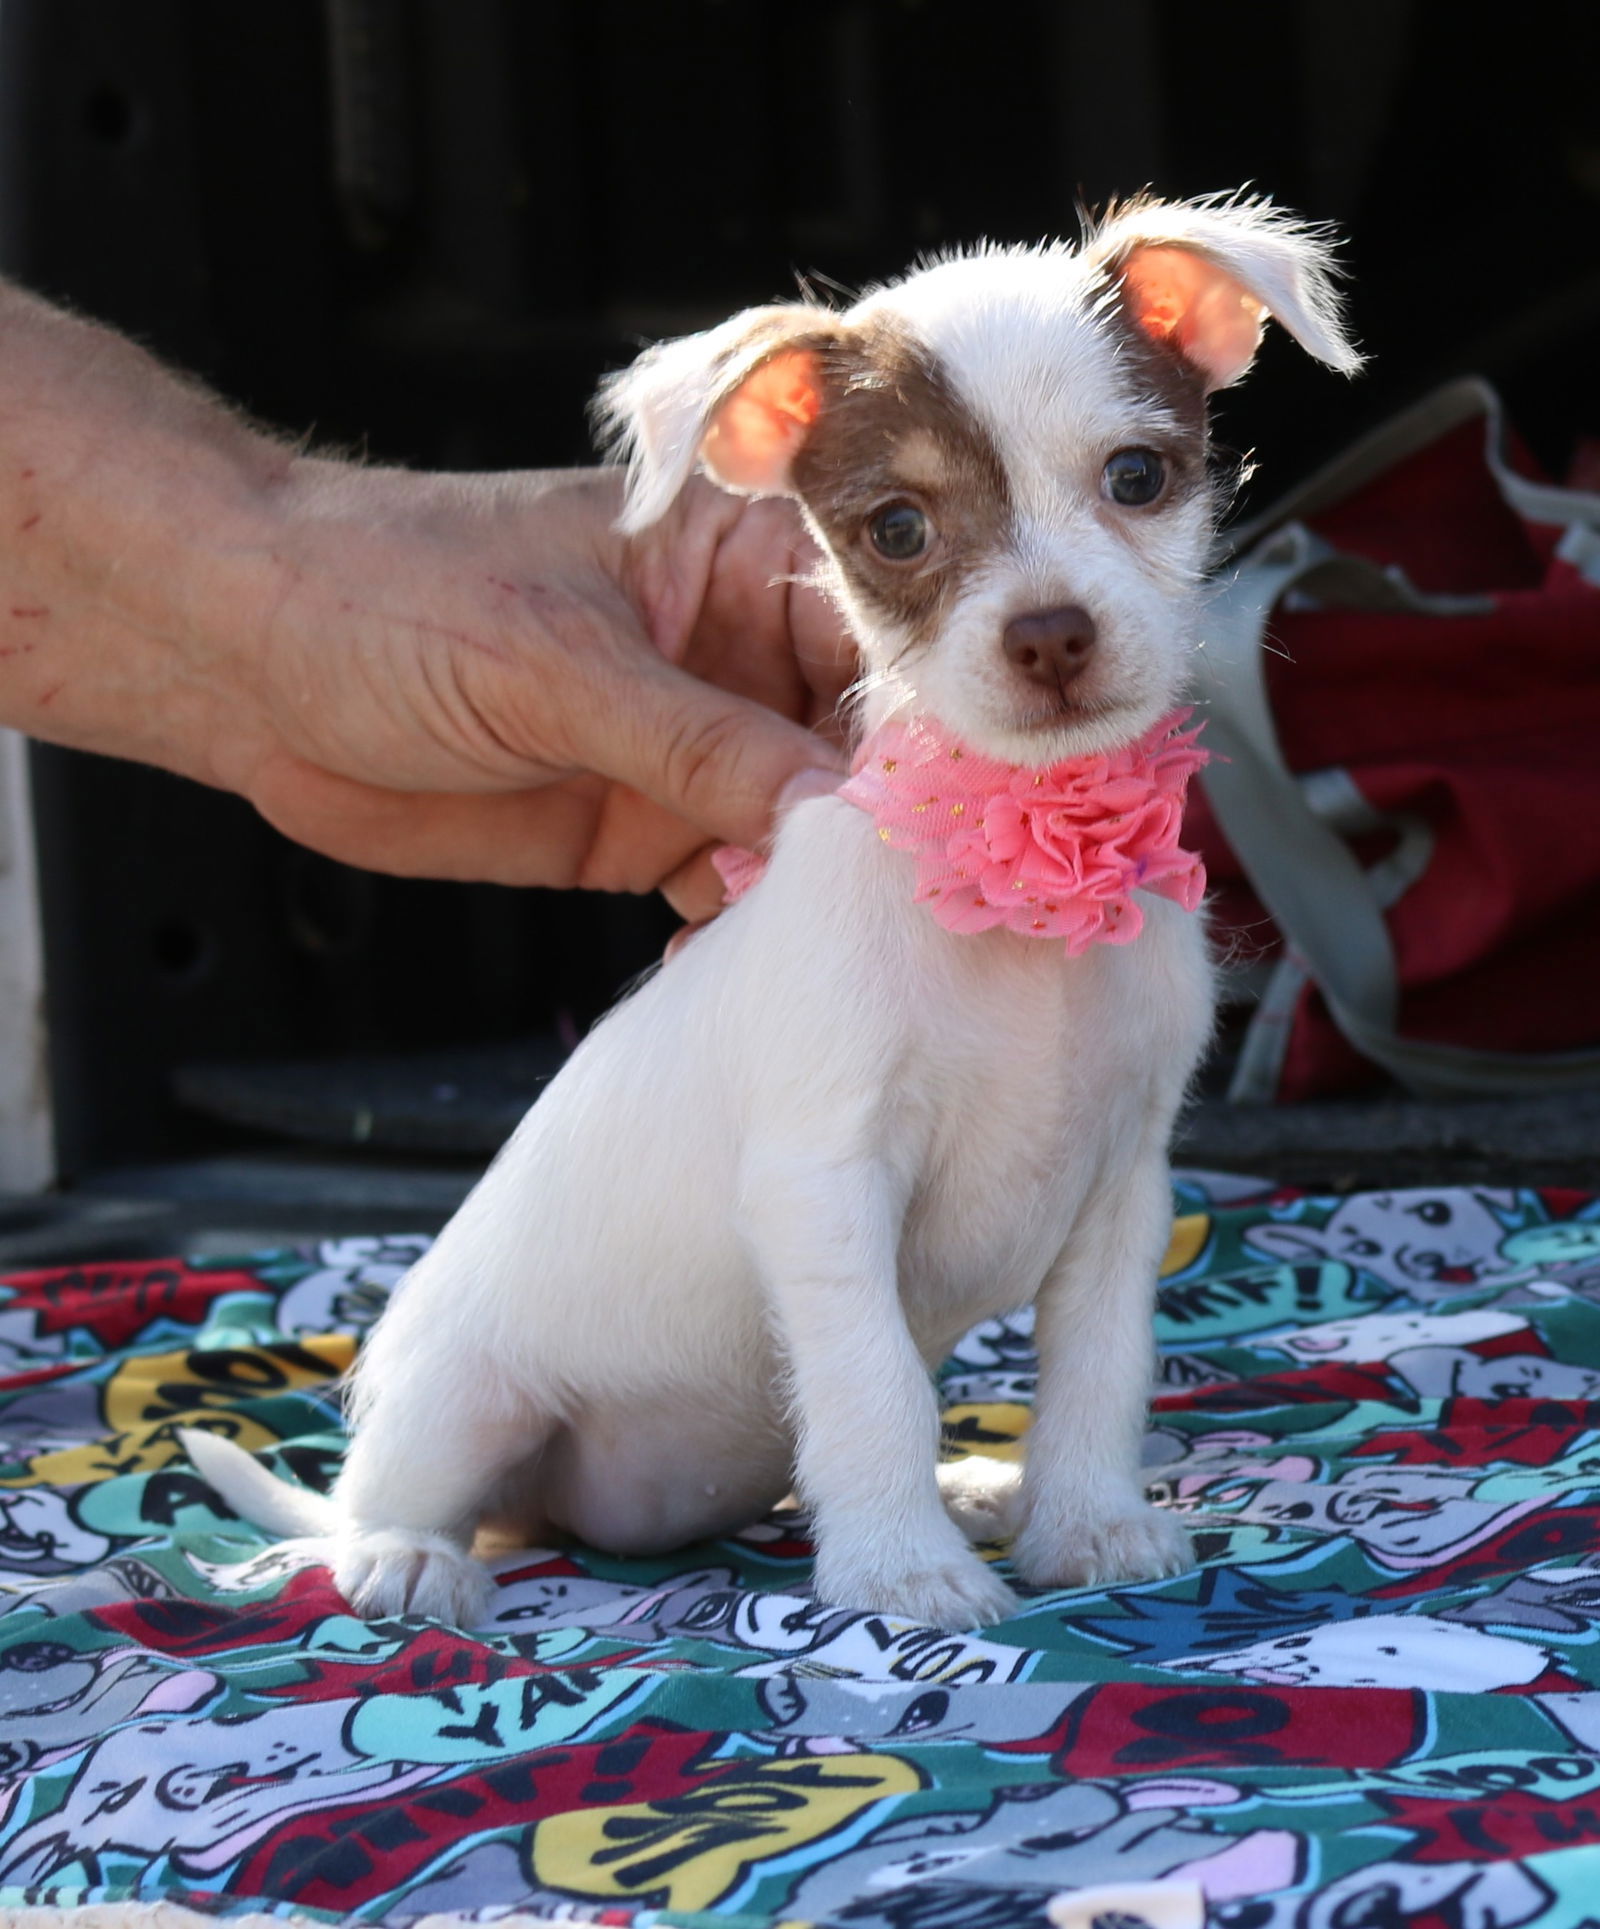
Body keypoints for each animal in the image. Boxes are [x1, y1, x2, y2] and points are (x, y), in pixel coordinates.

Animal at [190, 191, 1358, 1628]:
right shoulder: (824, 1186)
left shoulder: (1119, 1196)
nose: (1049, 634)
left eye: (1137, 477)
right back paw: (396, 1557)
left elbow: (1096, 1373)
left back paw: (979, 1489)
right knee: (386, 1495)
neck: (1020, 877)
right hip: (459, 1395)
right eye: (897, 529)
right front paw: (901, 1569)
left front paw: (1084, 1523)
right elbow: (873, 1384)